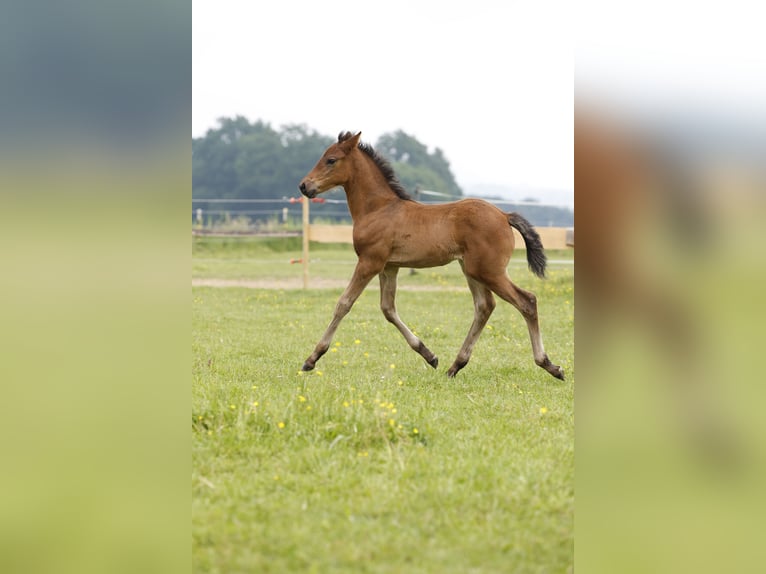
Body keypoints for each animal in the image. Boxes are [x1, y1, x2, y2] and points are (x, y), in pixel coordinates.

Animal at [298, 132, 564, 380]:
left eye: (331, 160)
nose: (304, 186)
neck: (379, 209)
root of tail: (504, 215)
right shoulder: (389, 266)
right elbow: (388, 309)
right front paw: (429, 355)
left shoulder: (369, 262)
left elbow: (344, 303)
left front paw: (312, 359)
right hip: (471, 269)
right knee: (484, 306)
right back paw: (454, 366)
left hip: (489, 271)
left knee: (526, 301)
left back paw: (549, 365)